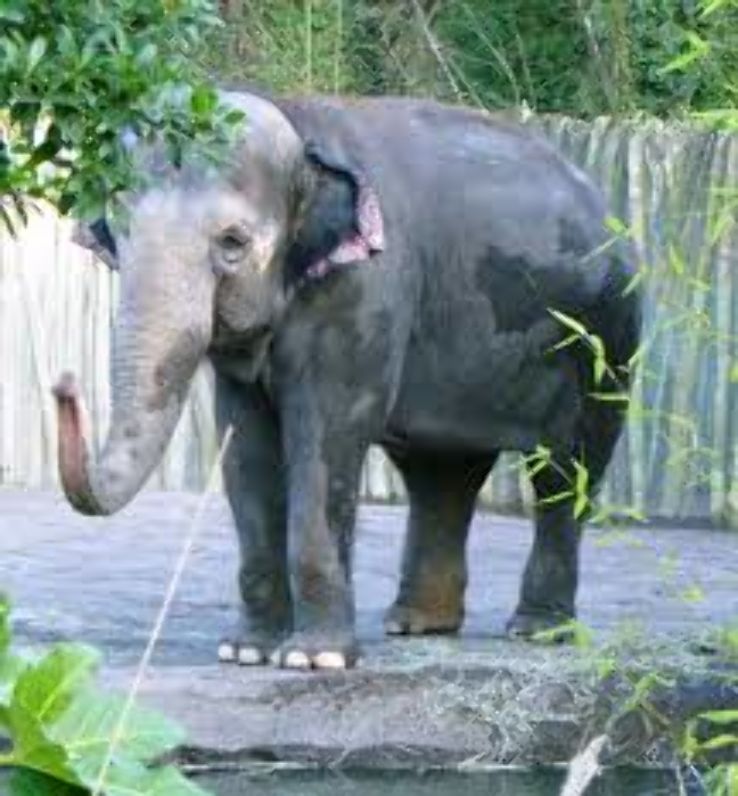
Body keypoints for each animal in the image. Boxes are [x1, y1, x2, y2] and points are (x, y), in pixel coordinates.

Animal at [53, 89, 641, 670]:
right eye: (119, 234)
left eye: (232, 243)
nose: (63, 385)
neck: (299, 127)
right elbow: (245, 447)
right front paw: (245, 651)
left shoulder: (365, 286)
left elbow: (329, 435)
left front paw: (314, 661)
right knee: (441, 473)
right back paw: (416, 625)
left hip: (604, 341)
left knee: (567, 470)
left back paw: (538, 631)